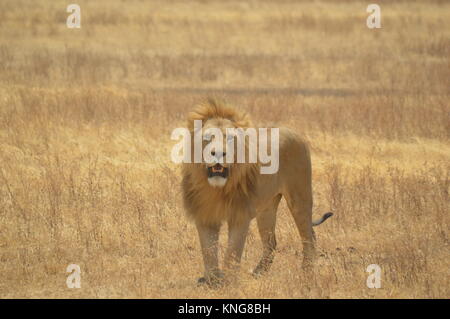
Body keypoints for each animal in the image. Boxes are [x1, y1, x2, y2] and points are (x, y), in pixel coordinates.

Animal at [181, 98, 332, 288]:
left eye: (230, 138)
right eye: (207, 139)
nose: (218, 154)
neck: (216, 189)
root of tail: (294, 132)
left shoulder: (240, 216)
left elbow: (233, 252)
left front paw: (229, 282)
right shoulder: (204, 215)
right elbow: (208, 251)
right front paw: (212, 281)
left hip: (300, 198)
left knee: (308, 237)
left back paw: (307, 273)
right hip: (266, 209)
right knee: (272, 243)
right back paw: (258, 273)